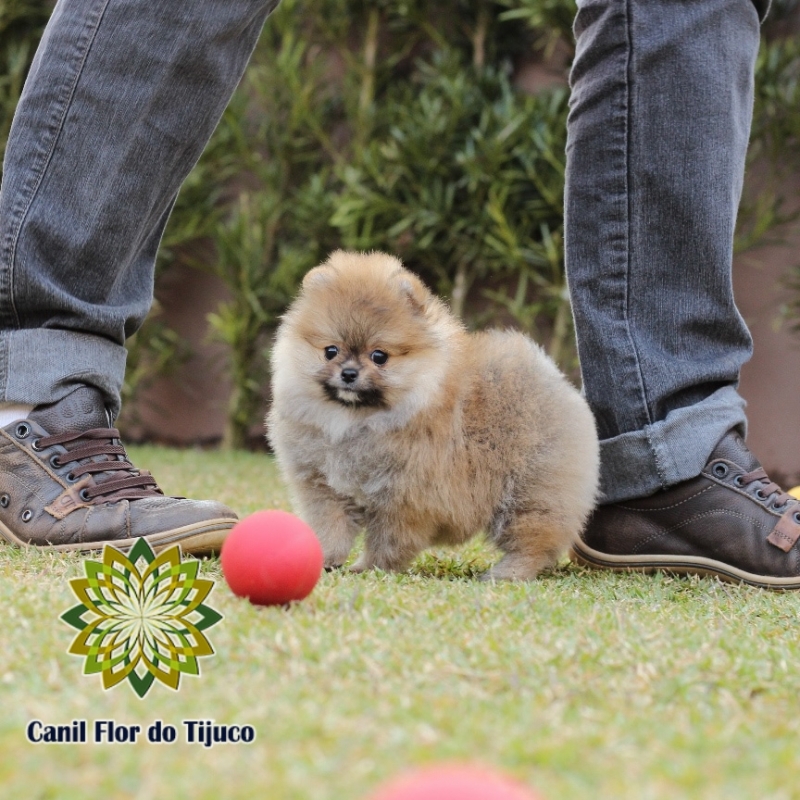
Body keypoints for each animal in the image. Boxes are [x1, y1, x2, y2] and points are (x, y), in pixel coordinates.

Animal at [266, 252, 596, 580]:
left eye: (379, 356)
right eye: (330, 351)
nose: (348, 373)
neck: (356, 421)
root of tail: (550, 374)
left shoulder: (404, 501)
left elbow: (388, 543)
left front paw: (369, 568)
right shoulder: (324, 489)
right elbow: (331, 528)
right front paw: (325, 559)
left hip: (530, 492)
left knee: (534, 540)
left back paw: (507, 572)